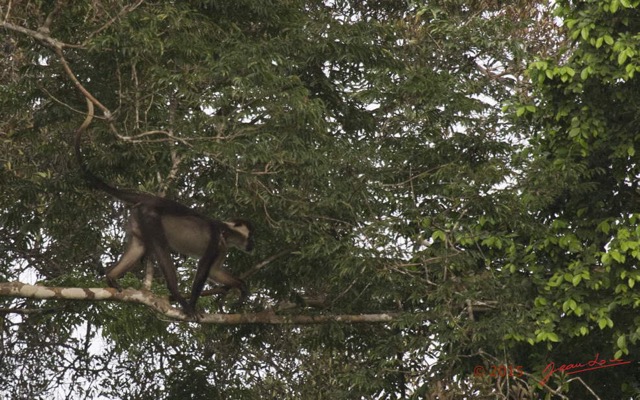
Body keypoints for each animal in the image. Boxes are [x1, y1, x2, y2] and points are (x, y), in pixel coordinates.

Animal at [74, 101, 254, 316]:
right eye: (251, 236)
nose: (253, 244)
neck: (227, 233)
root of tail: (149, 199)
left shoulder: (222, 247)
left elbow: (214, 271)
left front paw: (241, 285)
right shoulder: (216, 237)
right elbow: (203, 268)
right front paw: (192, 306)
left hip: (137, 218)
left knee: (139, 246)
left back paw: (111, 276)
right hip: (149, 216)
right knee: (160, 247)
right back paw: (177, 295)